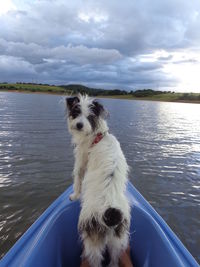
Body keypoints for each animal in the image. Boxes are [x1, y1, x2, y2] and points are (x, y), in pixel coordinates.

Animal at [66, 95, 131, 266]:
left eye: (89, 117)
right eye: (76, 112)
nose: (79, 125)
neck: (98, 135)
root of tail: (110, 210)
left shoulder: (82, 160)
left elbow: (77, 179)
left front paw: (74, 196)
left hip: (92, 240)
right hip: (117, 241)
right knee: (114, 261)